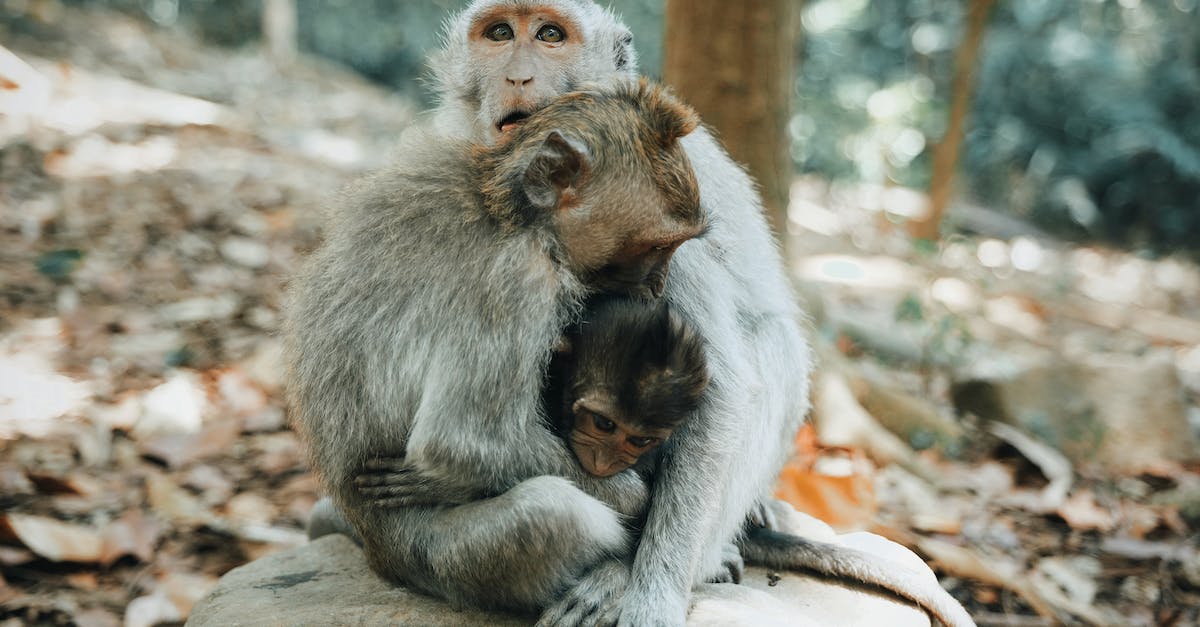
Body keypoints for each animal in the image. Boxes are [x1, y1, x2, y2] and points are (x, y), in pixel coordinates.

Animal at [285, 79, 707, 614]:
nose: (658, 288)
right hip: (445, 558)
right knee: (551, 510)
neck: (510, 211)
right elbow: (460, 441)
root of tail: (379, 555)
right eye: (656, 246)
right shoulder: (518, 283)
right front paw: (632, 494)